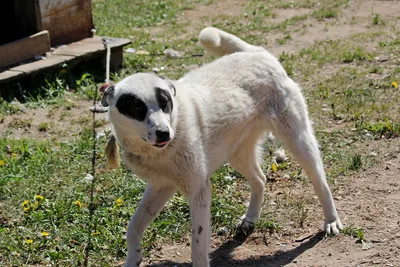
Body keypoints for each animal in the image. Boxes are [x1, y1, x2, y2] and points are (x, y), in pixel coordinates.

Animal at [101, 27, 342, 267]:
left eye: (165, 103)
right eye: (136, 107)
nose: (164, 133)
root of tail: (257, 53)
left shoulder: (198, 190)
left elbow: (198, 243)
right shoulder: (161, 185)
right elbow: (133, 227)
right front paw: (132, 259)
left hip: (297, 140)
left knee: (320, 180)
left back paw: (331, 220)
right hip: (237, 153)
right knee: (260, 179)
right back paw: (250, 219)